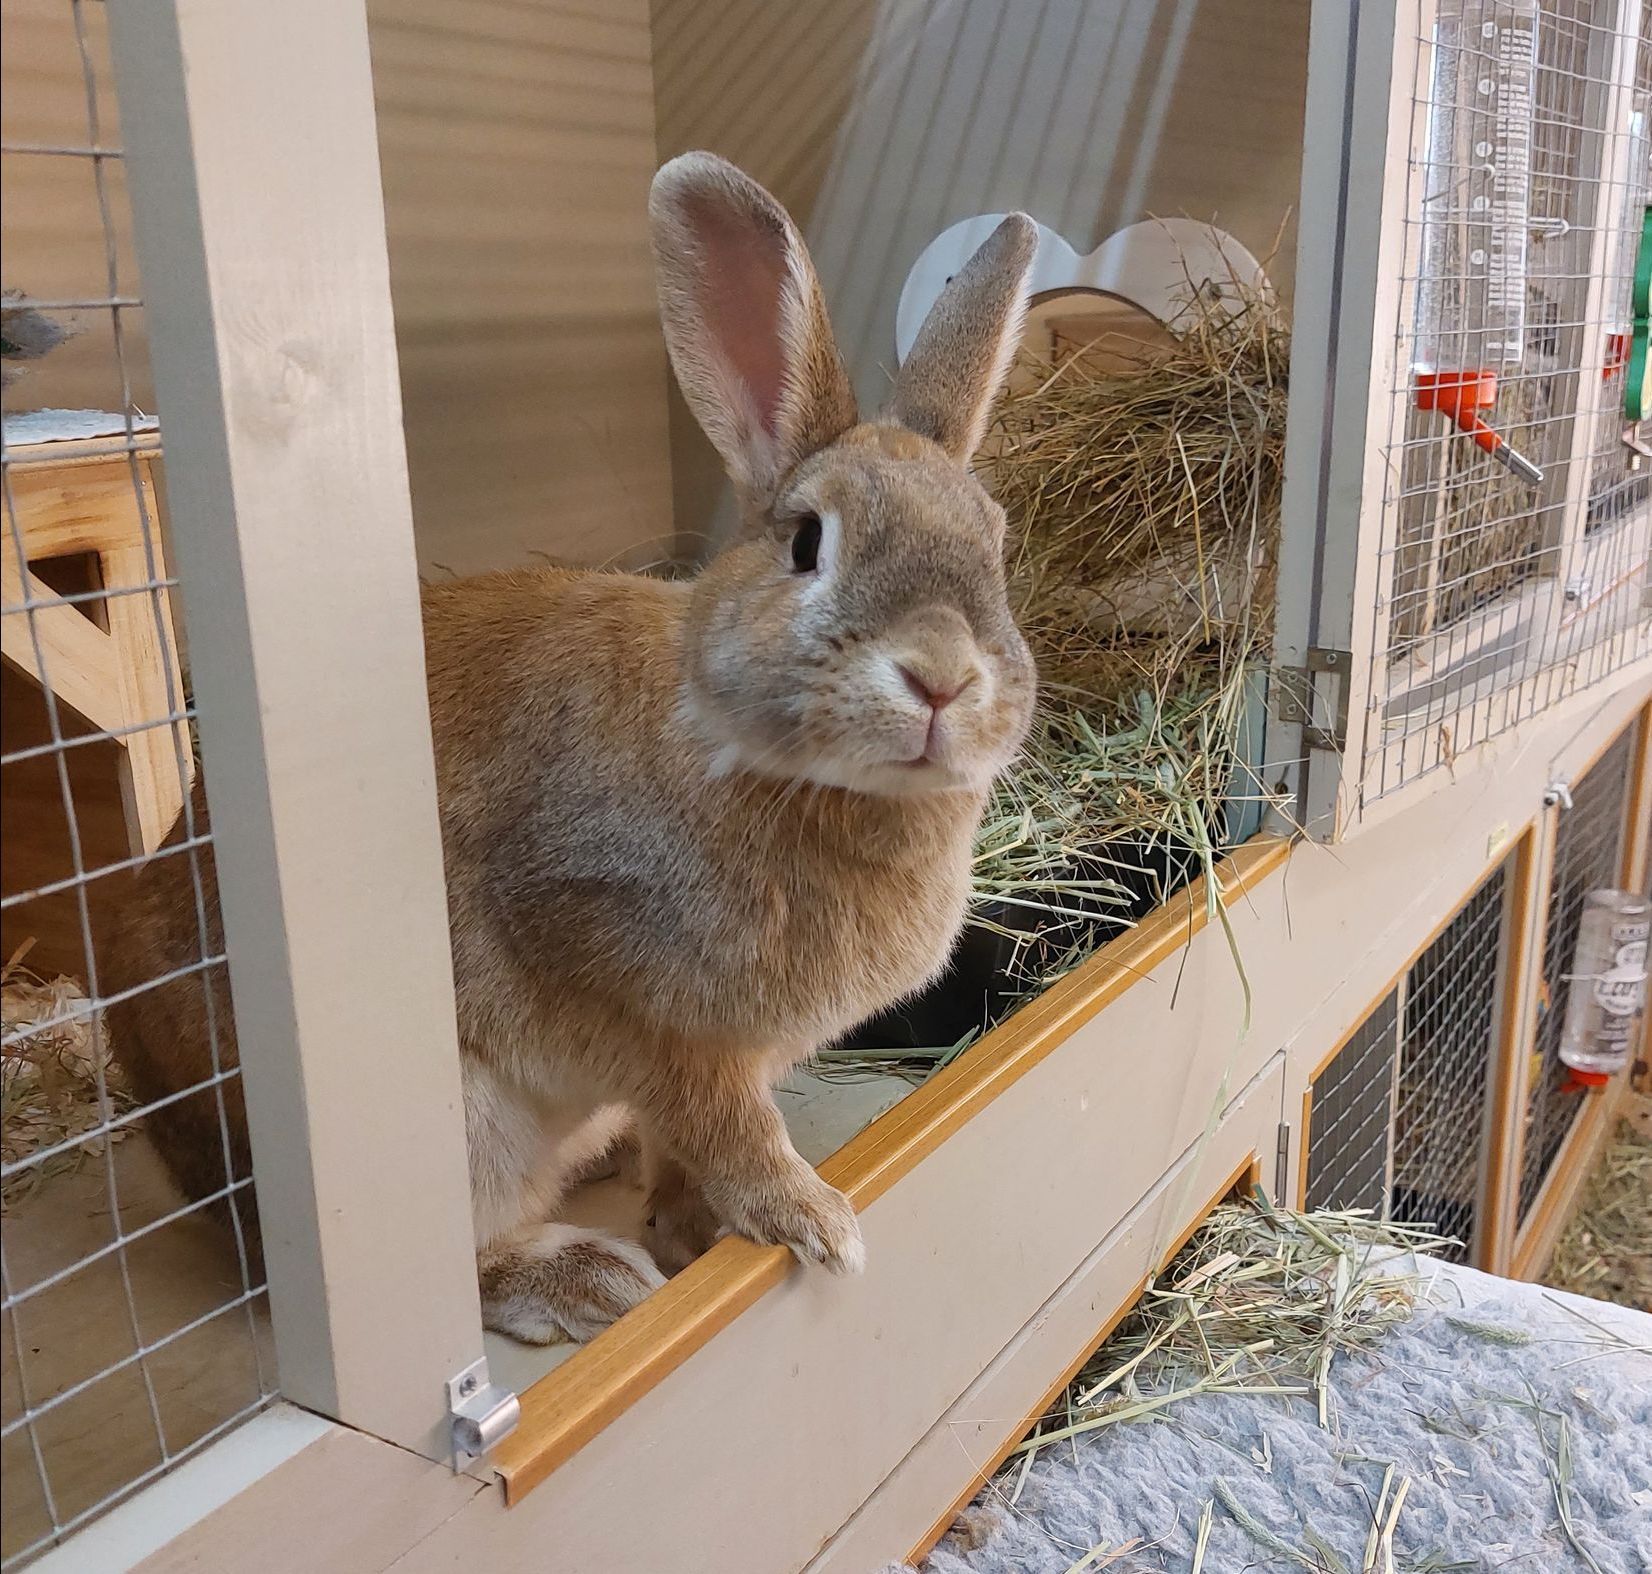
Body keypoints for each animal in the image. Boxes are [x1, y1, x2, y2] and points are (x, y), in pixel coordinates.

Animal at [101, 153, 1039, 1344]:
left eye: (995, 549)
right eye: (806, 543)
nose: (942, 677)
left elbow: (695, 1143)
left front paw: (694, 1224)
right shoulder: (637, 997)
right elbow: (726, 1124)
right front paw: (811, 1220)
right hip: (456, 1135)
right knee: (456, 1268)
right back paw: (588, 1278)